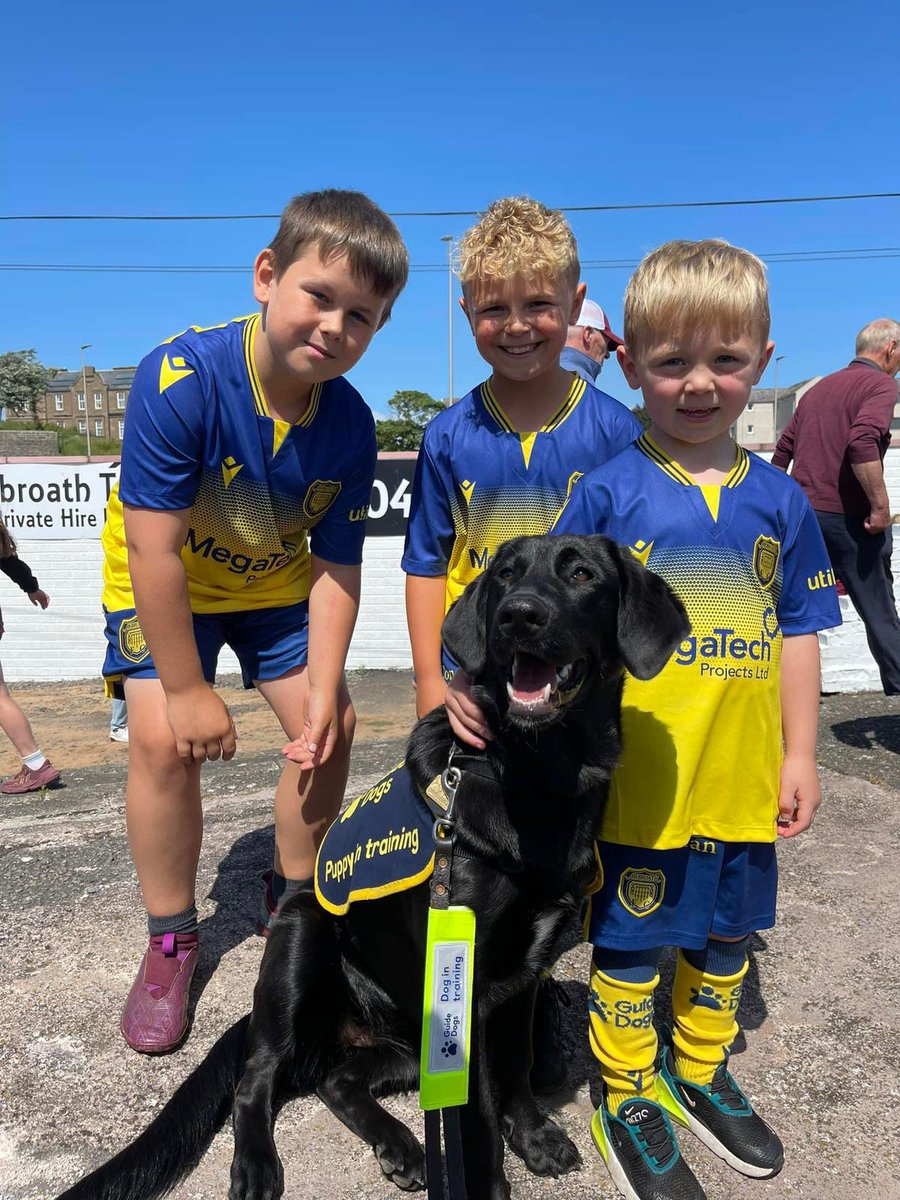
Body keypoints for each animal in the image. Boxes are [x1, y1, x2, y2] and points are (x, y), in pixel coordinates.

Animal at [56, 532, 691, 1200]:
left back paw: (402, 1146)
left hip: (411, 1042)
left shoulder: (525, 977)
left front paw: (535, 1135)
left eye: (581, 574)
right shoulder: (471, 990)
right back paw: (256, 1162)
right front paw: (493, 1179)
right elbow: (481, 1118)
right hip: (301, 941)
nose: (519, 614)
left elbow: (515, 1071)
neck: (535, 777)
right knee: (257, 1077)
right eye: (505, 576)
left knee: (336, 1080)